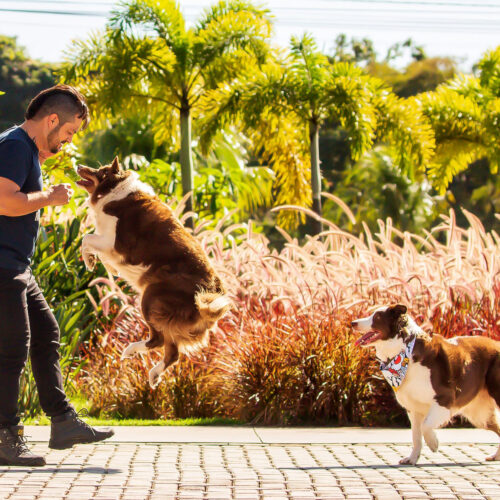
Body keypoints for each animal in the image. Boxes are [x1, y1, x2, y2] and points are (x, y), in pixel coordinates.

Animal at [75, 158, 230, 388]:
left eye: (99, 171)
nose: (78, 165)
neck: (117, 189)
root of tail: (212, 293)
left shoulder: (113, 241)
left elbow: (87, 238)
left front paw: (90, 260)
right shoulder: (108, 243)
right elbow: (95, 245)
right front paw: (106, 266)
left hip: (150, 297)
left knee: (158, 340)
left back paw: (131, 351)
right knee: (172, 354)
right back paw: (154, 373)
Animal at [352, 304, 500, 464]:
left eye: (377, 317)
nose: (353, 323)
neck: (404, 351)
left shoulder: (444, 399)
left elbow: (425, 426)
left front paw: (433, 443)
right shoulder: (413, 409)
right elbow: (416, 436)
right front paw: (412, 458)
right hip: (480, 415)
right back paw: (496, 456)